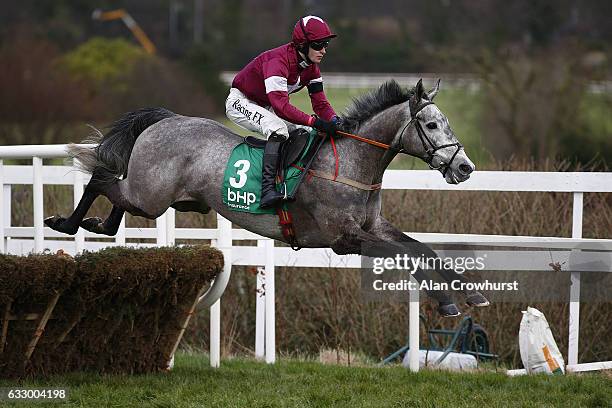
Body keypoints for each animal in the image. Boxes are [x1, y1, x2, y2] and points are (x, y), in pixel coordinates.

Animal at [45, 79, 488, 316]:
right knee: (101, 179)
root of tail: (166, 119)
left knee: (116, 195)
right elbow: (407, 255)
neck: (352, 163)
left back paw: (97, 225)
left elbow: (423, 249)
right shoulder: (344, 239)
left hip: (153, 196)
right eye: (431, 125)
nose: (465, 167)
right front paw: (447, 302)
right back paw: (66, 222)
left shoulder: (374, 226)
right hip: (151, 195)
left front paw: (470, 294)